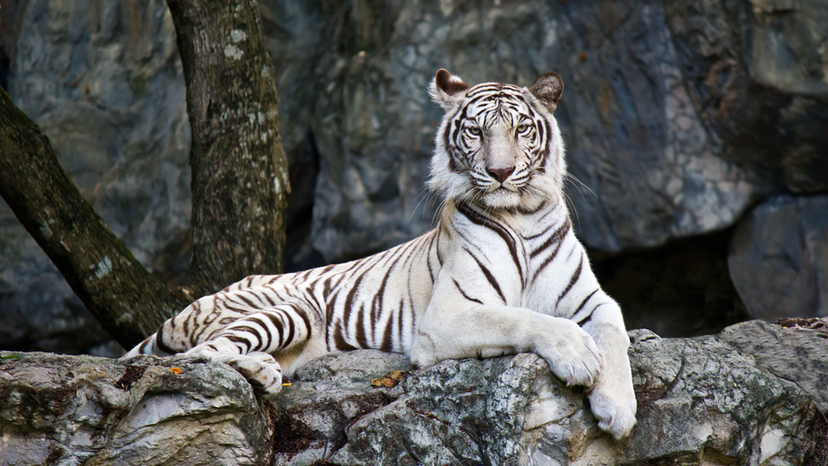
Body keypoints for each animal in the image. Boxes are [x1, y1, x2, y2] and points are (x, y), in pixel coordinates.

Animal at [126, 68, 636, 436]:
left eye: (522, 129)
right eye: (475, 131)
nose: (501, 172)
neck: (522, 213)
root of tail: (187, 307)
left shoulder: (592, 300)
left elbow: (614, 332)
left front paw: (618, 409)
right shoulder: (449, 313)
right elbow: (523, 318)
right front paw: (579, 356)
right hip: (286, 308)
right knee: (199, 355)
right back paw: (261, 370)